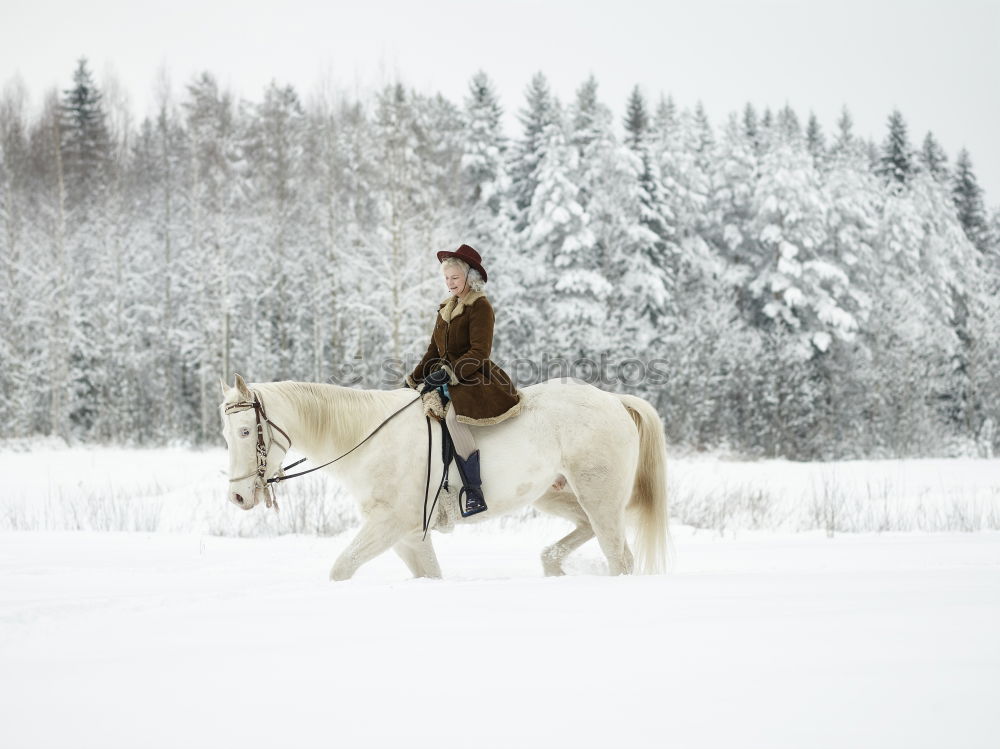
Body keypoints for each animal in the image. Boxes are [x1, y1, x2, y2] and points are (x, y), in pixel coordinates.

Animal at [221, 374, 672, 580]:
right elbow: (430, 575)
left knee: (619, 557)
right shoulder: (407, 537)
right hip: (557, 494)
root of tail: (613, 400)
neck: (368, 439)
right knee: (586, 533)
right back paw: (554, 567)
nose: (239, 498)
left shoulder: (389, 526)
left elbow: (341, 569)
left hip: (599, 495)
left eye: (245, 432)